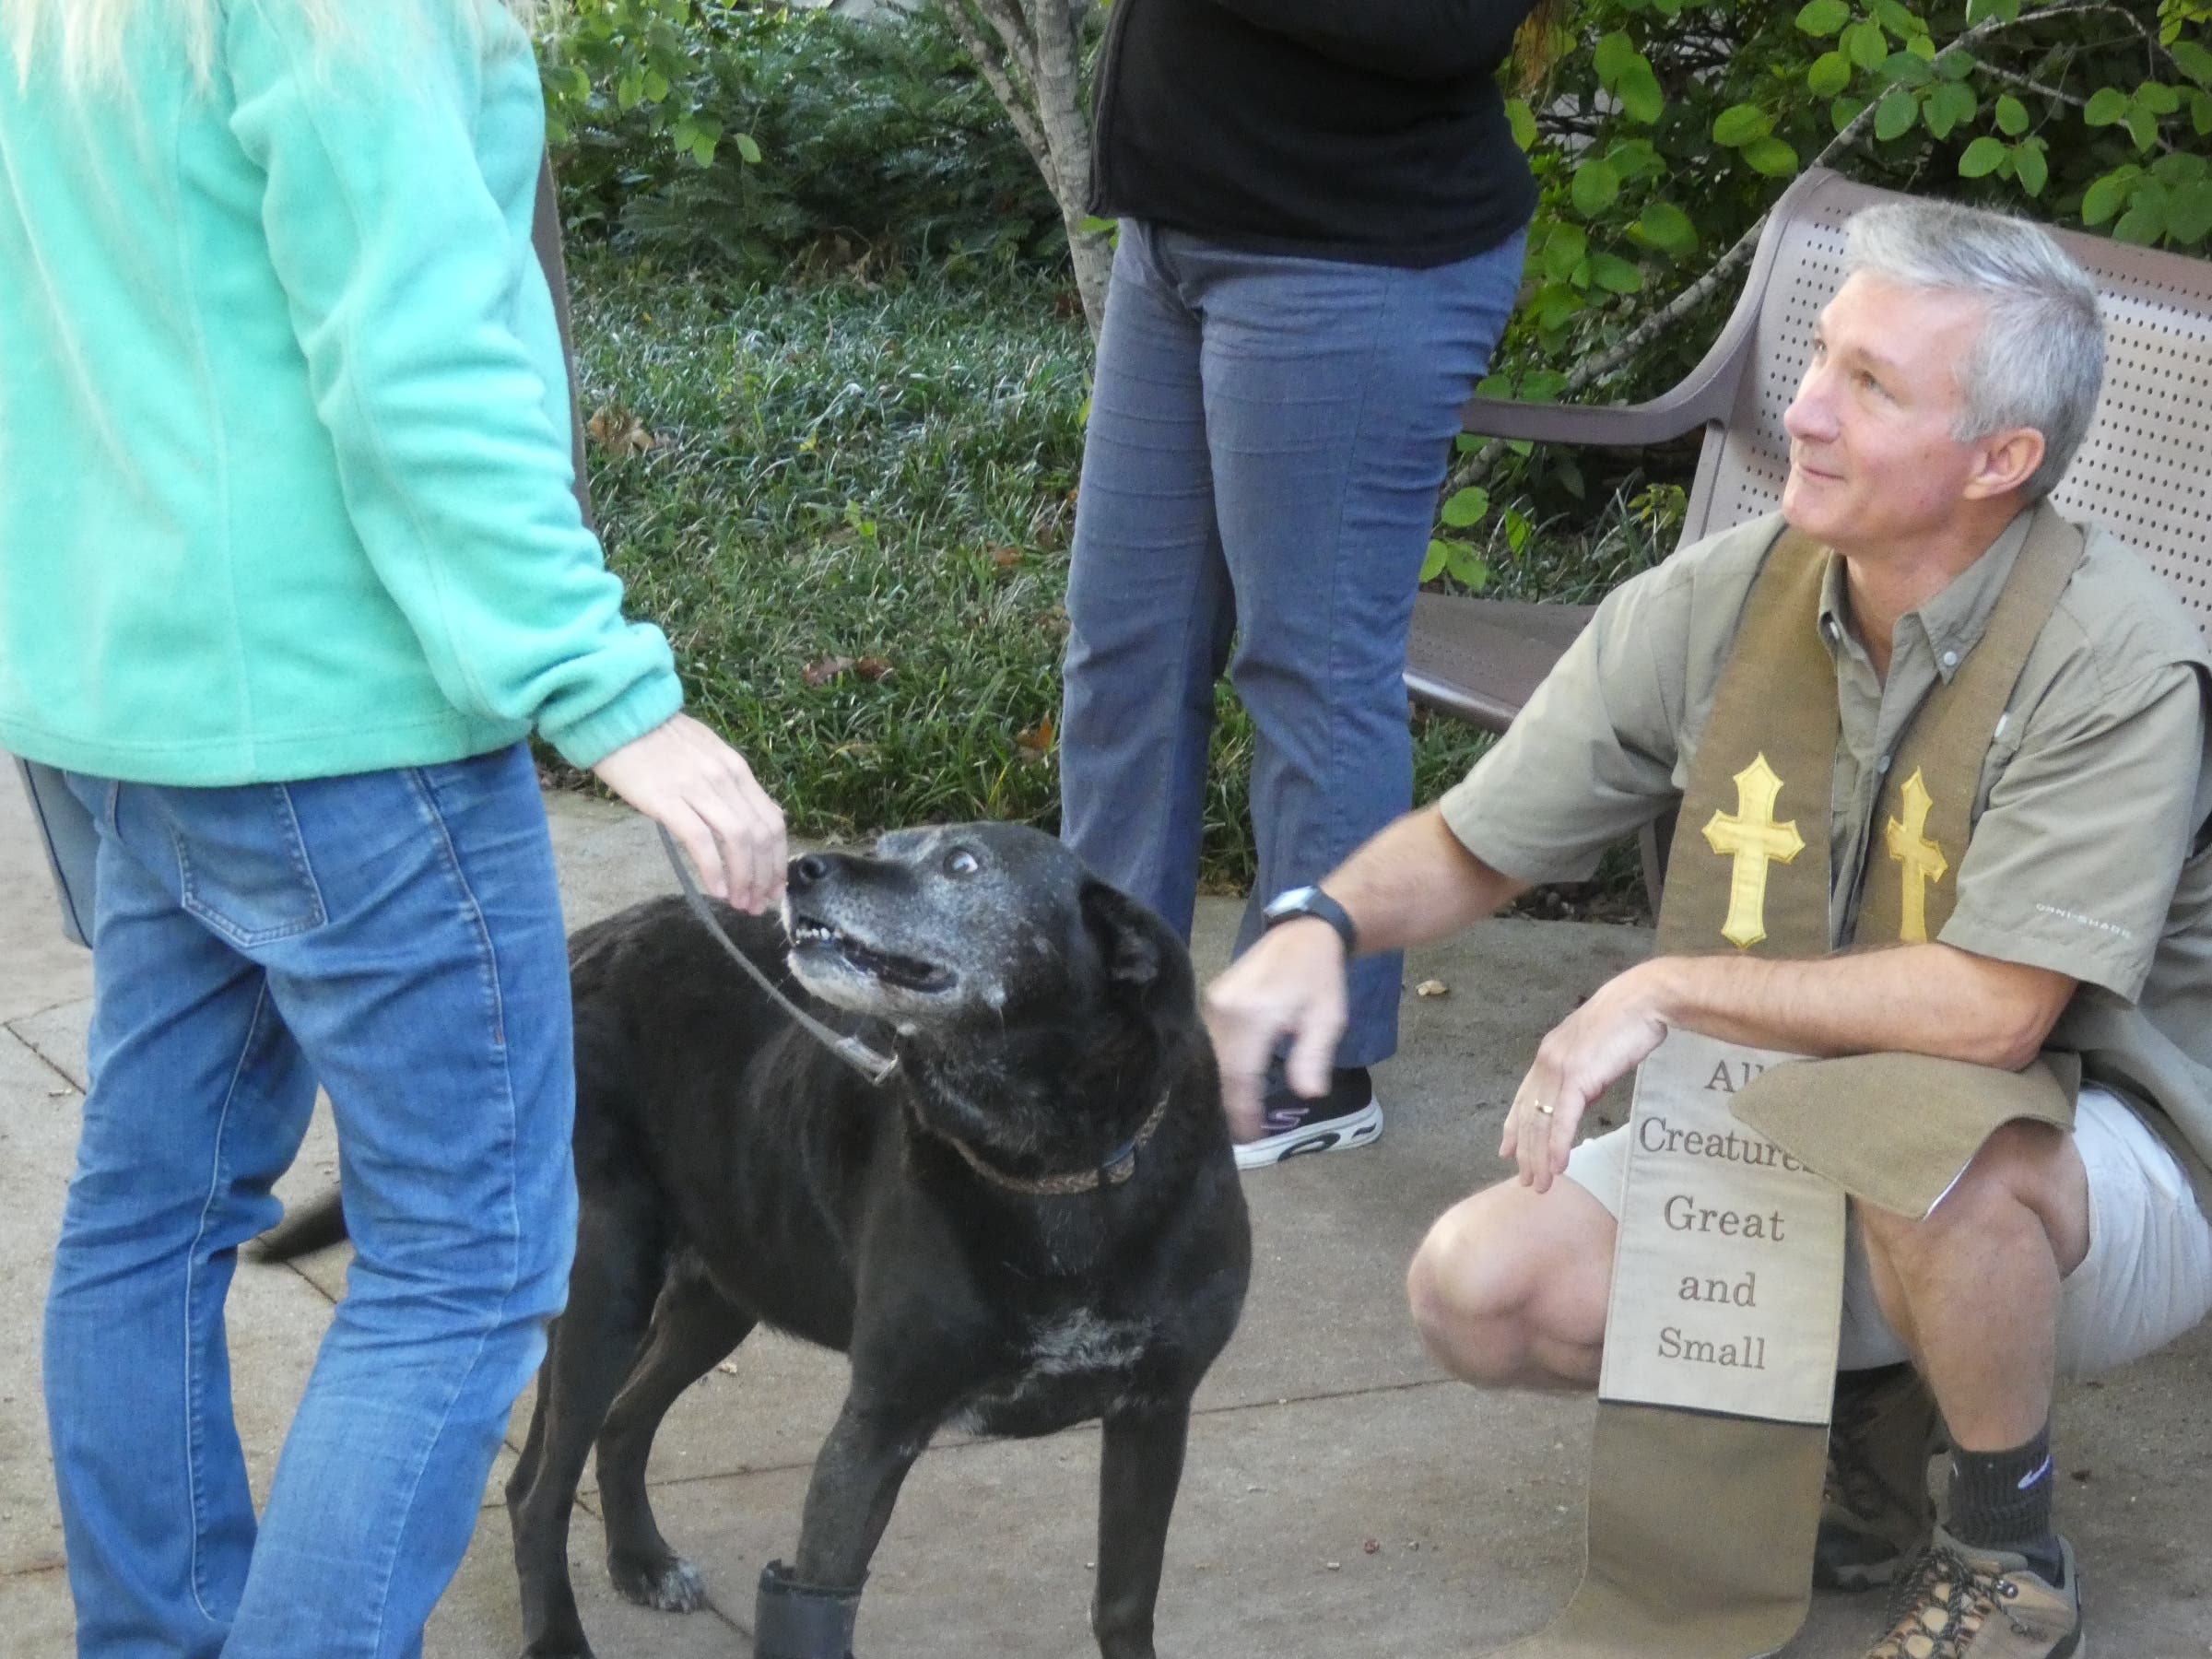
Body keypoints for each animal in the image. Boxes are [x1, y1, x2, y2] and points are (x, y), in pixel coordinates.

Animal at [263, 827, 1247, 1654]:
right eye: (892, 841)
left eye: (963, 864)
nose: (802, 867)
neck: (1052, 1163)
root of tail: (583, 944)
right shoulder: (877, 1426)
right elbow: (821, 1604)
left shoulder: (1155, 1414)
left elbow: (1124, 1601)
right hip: (605, 1292)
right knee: (536, 1489)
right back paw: (558, 1636)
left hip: (721, 1293)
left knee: (621, 1425)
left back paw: (641, 1563)